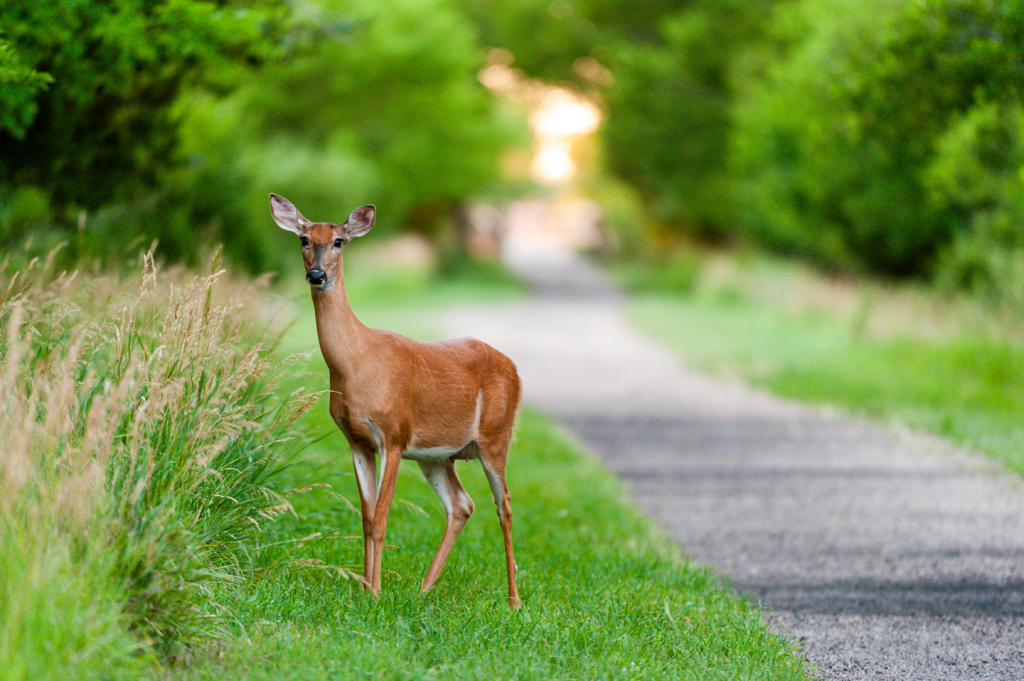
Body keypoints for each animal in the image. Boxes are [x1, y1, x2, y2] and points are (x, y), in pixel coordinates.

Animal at [268, 191, 524, 606]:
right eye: (304, 240)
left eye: (339, 241)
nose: (317, 275)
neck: (357, 364)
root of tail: (515, 369)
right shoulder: (357, 440)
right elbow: (366, 517)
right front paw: (365, 588)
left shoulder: (393, 434)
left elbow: (382, 519)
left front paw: (374, 593)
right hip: (438, 456)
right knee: (461, 504)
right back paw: (423, 589)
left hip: (495, 437)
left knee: (504, 506)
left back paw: (514, 599)